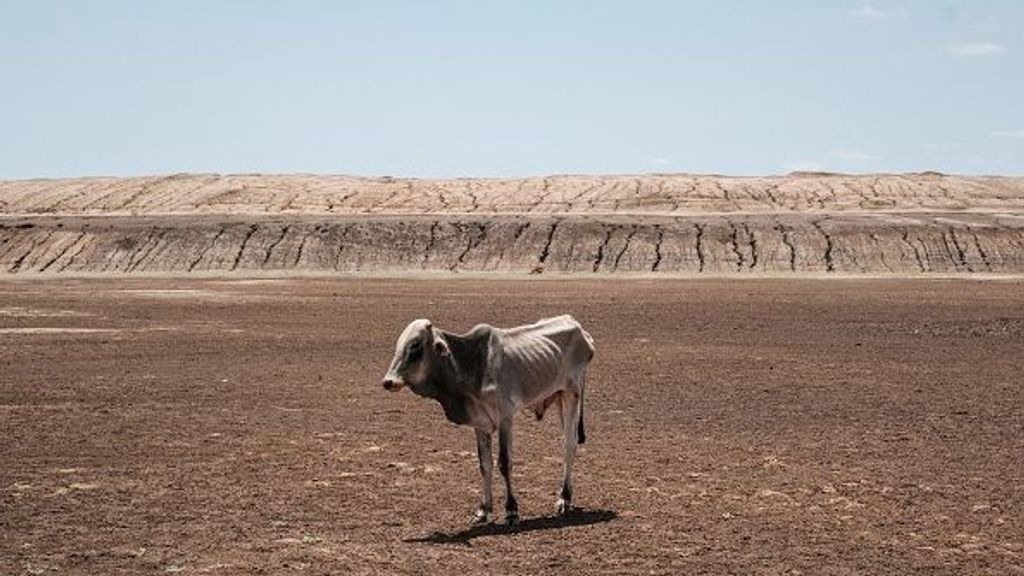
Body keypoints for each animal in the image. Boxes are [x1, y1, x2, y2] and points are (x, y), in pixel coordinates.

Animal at [382, 313, 593, 524]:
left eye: (415, 346)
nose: (388, 382)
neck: (470, 364)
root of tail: (579, 328)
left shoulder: (505, 418)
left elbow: (504, 463)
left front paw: (511, 510)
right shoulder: (480, 423)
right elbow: (485, 464)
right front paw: (483, 510)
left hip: (572, 394)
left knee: (569, 444)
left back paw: (564, 498)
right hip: (559, 396)